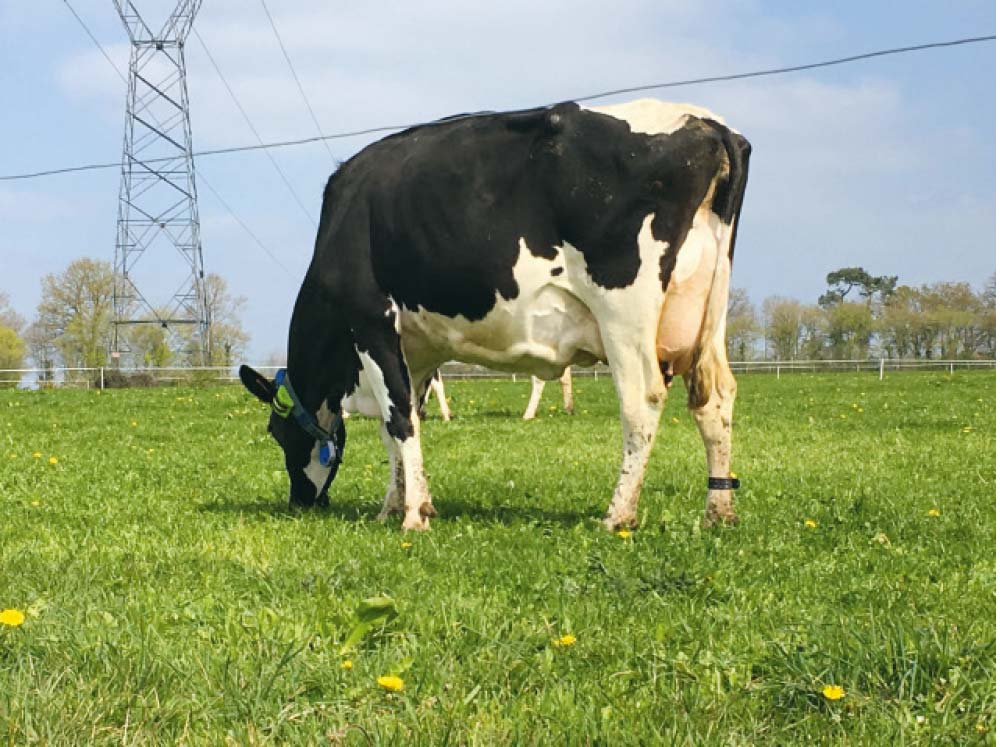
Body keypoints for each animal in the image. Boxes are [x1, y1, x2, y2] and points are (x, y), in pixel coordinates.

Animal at [238, 98, 748, 532]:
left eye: (275, 432)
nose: (301, 501)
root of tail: (708, 124)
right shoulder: (417, 348)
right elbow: (401, 422)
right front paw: (400, 504)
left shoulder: (372, 323)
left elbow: (398, 419)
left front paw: (411, 518)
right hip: (709, 314)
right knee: (716, 397)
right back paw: (718, 511)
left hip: (624, 311)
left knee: (642, 400)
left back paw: (617, 515)